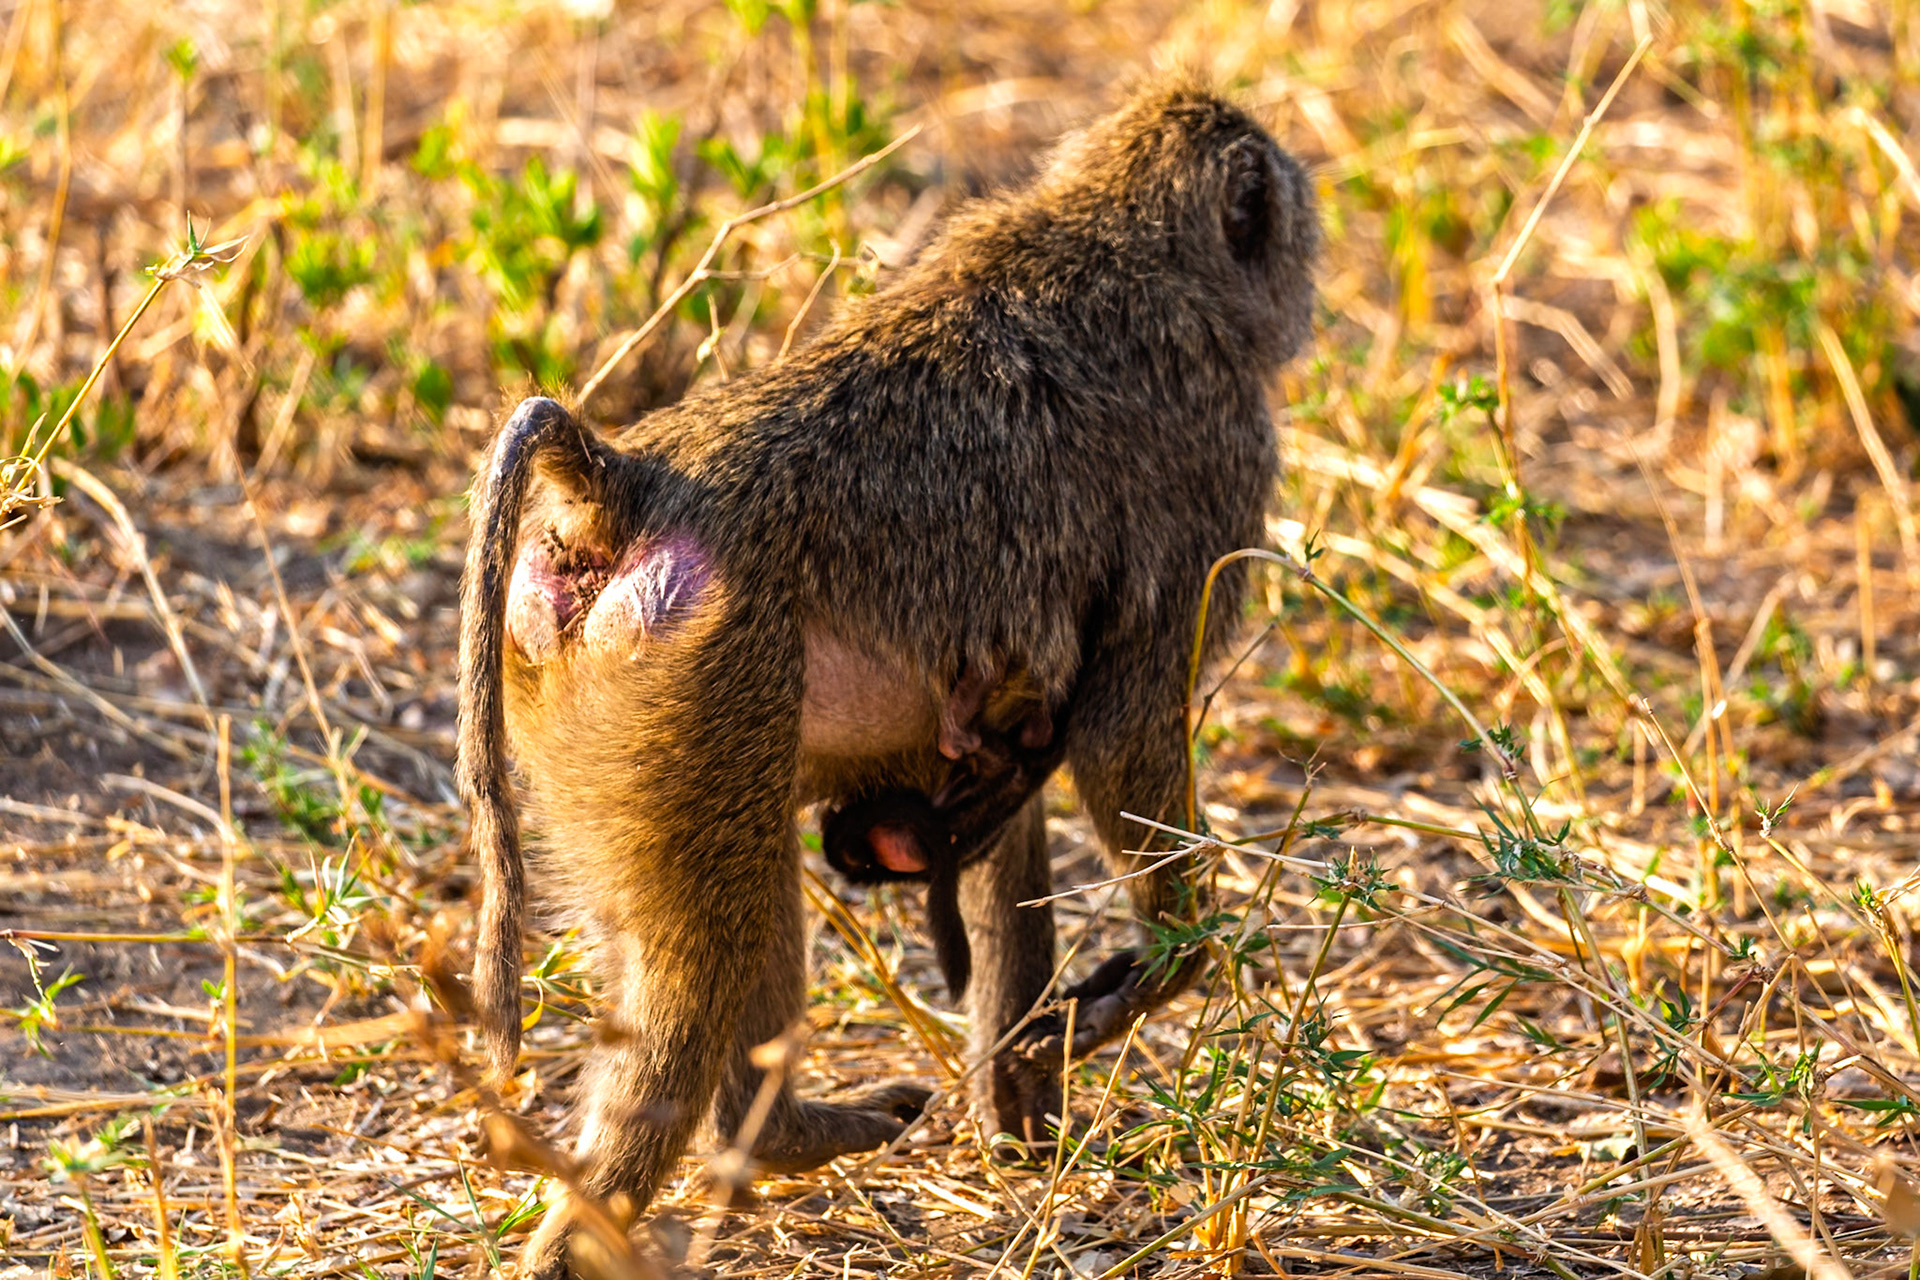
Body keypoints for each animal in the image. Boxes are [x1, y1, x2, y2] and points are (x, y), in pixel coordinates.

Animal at [457, 77, 1317, 1277]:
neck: (1114, 241)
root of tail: (622, 485)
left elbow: (1013, 842)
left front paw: (1021, 1096)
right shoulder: (1217, 479)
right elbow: (1122, 731)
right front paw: (1163, 962)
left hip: (594, 707)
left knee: (704, 911)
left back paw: (776, 1135)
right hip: (710, 686)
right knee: (701, 977)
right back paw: (655, 1190)